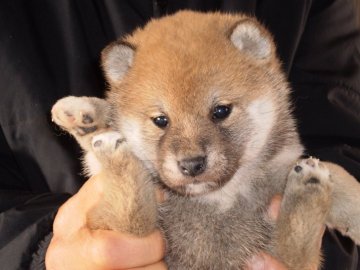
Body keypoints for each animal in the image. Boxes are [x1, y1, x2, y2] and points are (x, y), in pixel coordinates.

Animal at [51, 11, 360, 270]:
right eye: (161, 120)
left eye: (220, 111)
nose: (191, 165)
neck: (219, 196)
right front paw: (85, 114)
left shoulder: (284, 163)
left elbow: (340, 175)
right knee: (132, 211)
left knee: (295, 244)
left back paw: (309, 186)